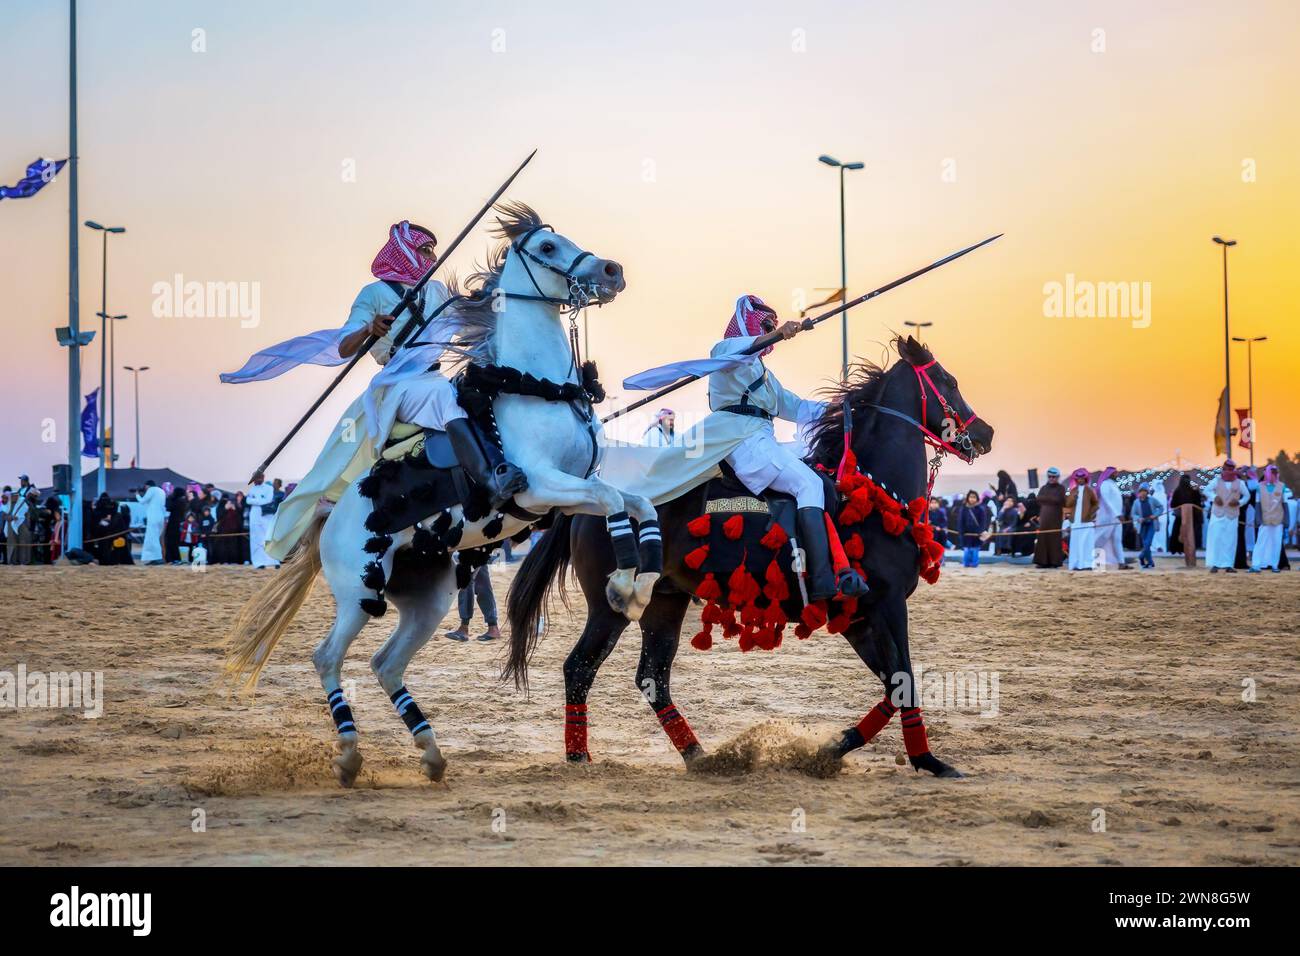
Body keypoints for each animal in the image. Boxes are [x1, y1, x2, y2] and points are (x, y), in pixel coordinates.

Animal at [222, 201, 660, 785]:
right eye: (548, 247)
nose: (611, 271)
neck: (535, 387)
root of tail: (329, 517)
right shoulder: (543, 488)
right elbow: (614, 503)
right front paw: (620, 586)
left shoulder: (570, 493)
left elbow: (638, 504)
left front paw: (641, 582)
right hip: (359, 591)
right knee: (327, 657)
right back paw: (349, 753)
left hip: (427, 600)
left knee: (385, 663)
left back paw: (429, 750)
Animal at [506, 335, 993, 780]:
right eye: (948, 381)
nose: (985, 433)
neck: (870, 498)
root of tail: (595, 499)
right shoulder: (888, 606)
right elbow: (905, 682)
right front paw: (926, 760)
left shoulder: (860, 617)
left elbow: (894, 686)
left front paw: (835, 749)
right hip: (610, 606)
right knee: (580, 668)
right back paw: (579, 757)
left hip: (664, 602)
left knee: (653, 679)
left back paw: (700, 756)